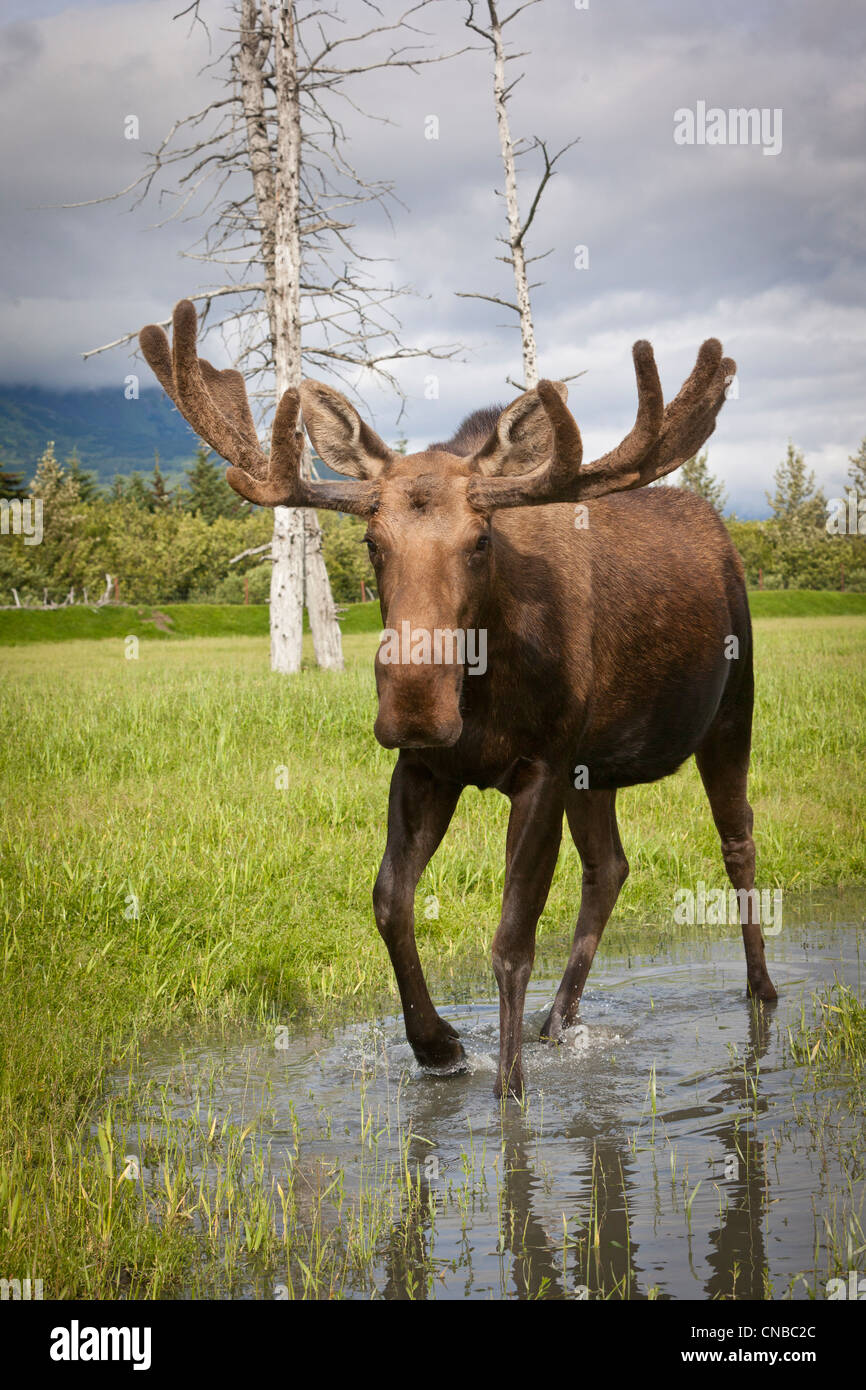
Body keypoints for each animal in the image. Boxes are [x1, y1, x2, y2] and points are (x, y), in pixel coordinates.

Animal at [140, 301, 778, 1095]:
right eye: (373, 542)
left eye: (480, 540)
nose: (414, 698)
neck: (483, 695)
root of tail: (724, 539)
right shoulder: (427, 767)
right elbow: (390, 902)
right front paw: (438, 1046)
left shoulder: (542, 766)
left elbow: (510, 941)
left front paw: (509, 1094)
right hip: (594, 767)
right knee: (609, 869)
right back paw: (558, 1022)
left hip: (730, 711)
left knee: (738, 841)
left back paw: (761, 993)